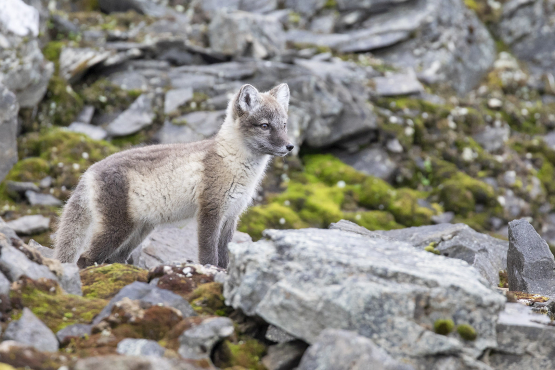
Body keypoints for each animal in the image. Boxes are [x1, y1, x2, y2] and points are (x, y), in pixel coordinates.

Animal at [54, 84, 294, 268]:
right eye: (264, 126)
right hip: (116, 229)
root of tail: (89, 172)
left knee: (114, 258)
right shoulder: (210, 211)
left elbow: (225, 255)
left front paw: (226, 273)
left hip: (138, 231)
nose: (290, 146)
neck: (233, 163)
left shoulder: (231, 216)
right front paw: (210, 271)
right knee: (85, 259)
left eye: (284, 125)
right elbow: (208, 253)